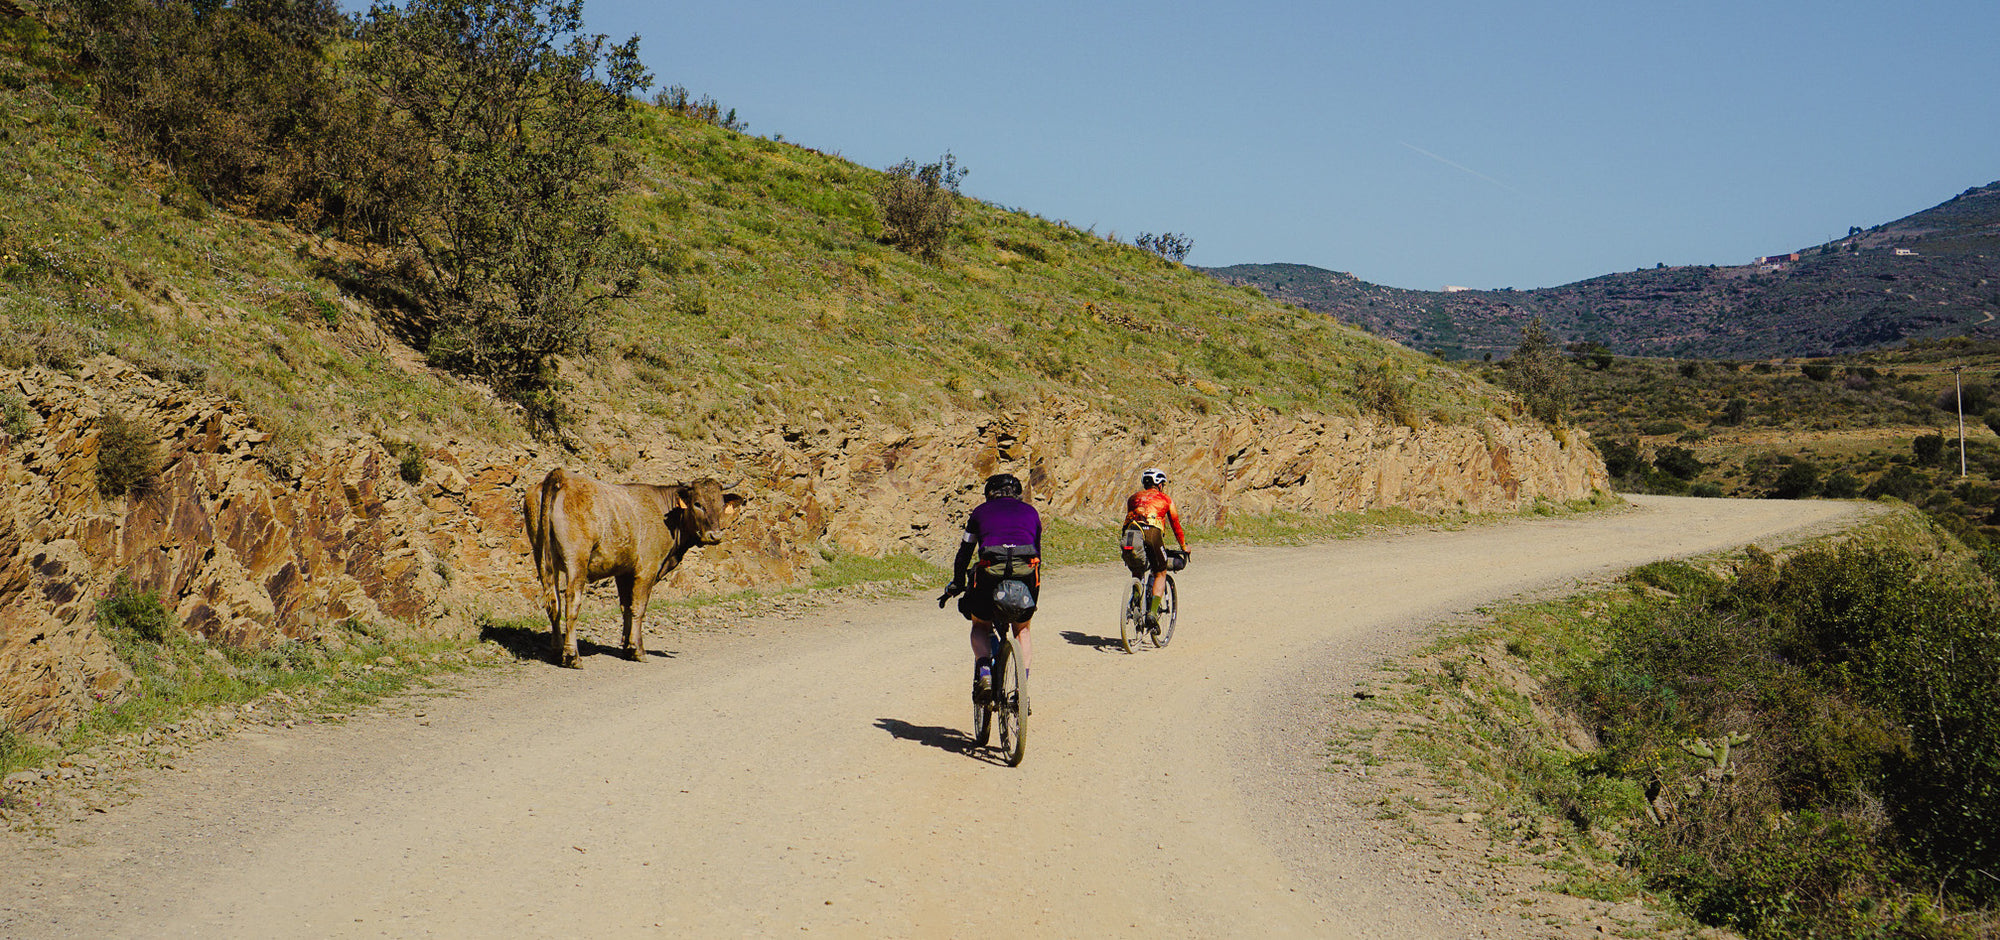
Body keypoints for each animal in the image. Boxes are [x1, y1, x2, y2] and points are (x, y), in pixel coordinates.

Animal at [528, 466, 748, 664]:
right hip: (577, 559)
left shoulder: (623, 571)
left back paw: (557, 651)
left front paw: (626, 647)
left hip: (543, 559)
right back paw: (572, 656)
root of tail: (562, 475)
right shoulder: (647, 568)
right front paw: (637, 649)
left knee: (553, 602)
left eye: (721, 505)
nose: (715, 536)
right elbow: (638, 607)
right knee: (572, 600)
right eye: (697, 504)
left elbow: (625, 606)